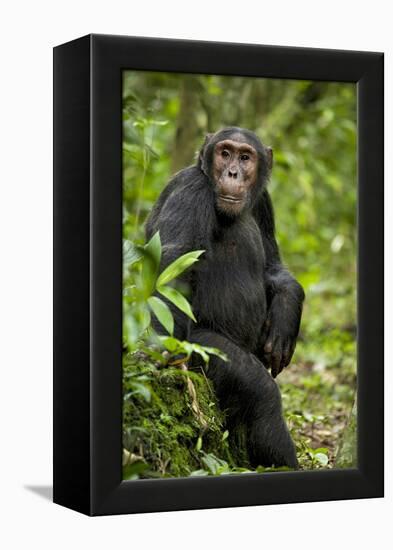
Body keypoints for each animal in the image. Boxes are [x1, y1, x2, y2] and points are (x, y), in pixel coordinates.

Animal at [145, 129, 304, 470]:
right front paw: (160, 352)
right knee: (262, 395)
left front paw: (286, 317)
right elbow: (174, 264)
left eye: (245, 157)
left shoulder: (264, 202)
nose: (232, 172)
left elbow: (273, 264)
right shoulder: (191, 190)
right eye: (225, 153)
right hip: (200, 348)